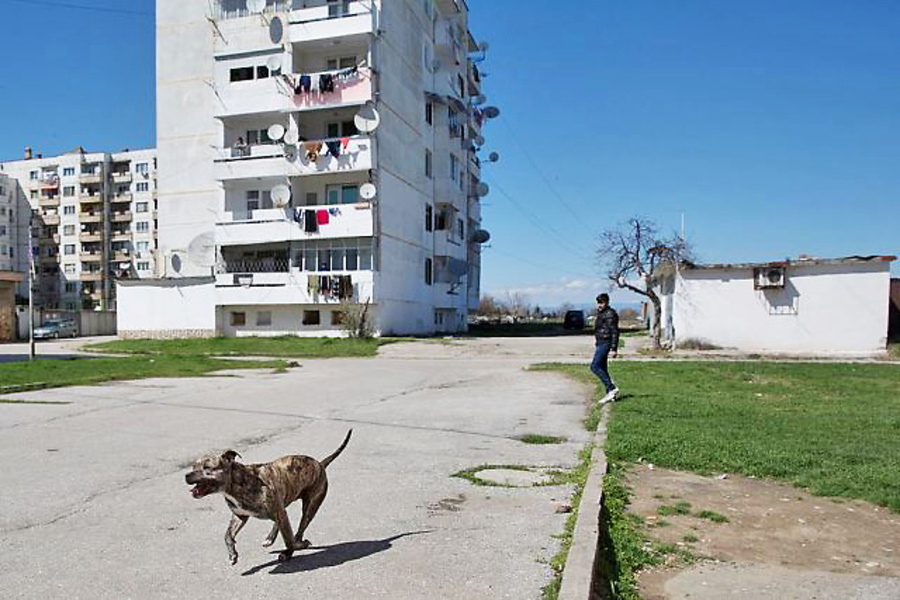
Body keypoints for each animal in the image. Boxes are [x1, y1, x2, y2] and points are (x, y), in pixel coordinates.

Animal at [184, 432, 352, 564]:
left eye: (207, 468)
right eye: (193, 466)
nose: (186, 475)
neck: (236, 483)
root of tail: (320, 464)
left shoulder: (277, 511)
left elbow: (289, 539)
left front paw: (291, 550)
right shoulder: (240, 516)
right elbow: (227, 535)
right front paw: (232, 554)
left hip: (310, 506)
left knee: (298, 529)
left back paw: (294, 545)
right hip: (282, 504)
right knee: (283, 524)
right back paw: (271, 538)